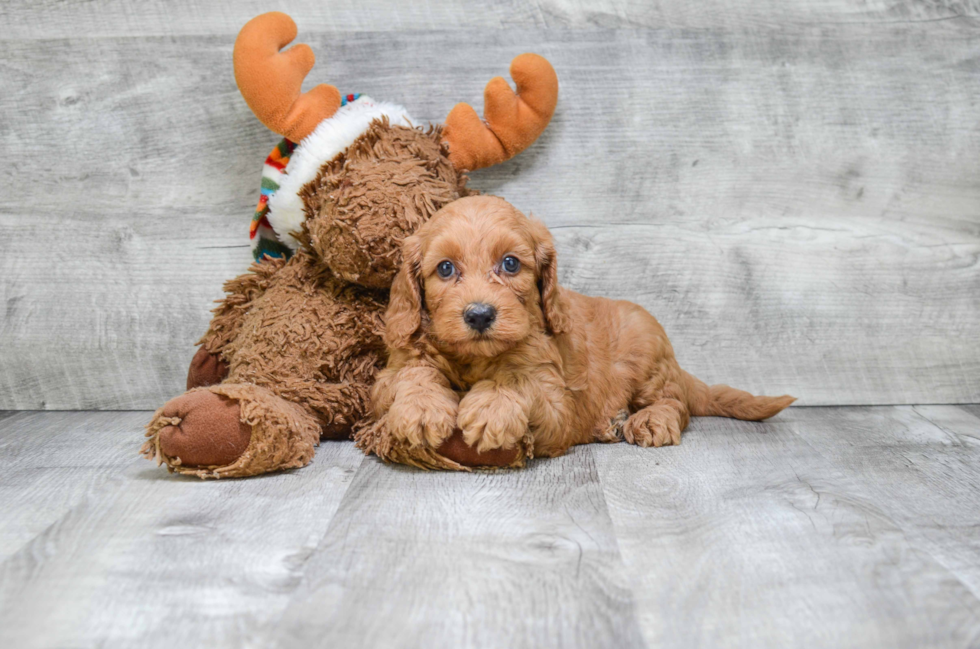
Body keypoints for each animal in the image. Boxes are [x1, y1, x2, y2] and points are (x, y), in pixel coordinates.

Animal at [372, 196, 792, 460]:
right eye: (445, 268)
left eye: (510, 264)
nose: (478, 315)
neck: (475, 358)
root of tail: (677, 366)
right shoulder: (391, 371)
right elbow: (412, 373)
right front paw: (422, 407)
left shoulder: (556, 404)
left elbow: (518, 380)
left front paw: (492, 406)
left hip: (647, 359)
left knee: (676, 403)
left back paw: (649, 419)